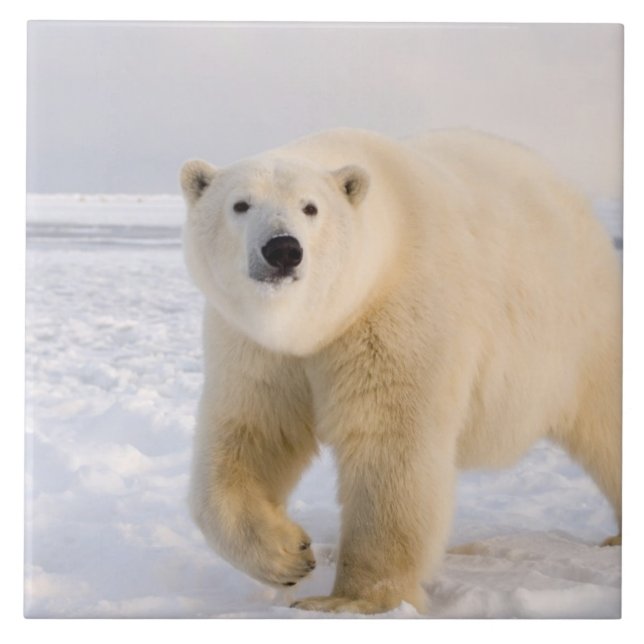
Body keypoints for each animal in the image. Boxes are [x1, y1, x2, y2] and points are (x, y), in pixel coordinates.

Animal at [180, 128, 622, 615]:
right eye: (240, 204)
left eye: (310, 207)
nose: (283, 249)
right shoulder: (256, 348)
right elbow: (253, 432)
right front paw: (289, 554)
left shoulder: (398, 316)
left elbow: (388, 445)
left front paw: (349, 600)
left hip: (582, 329)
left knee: (608, 422)